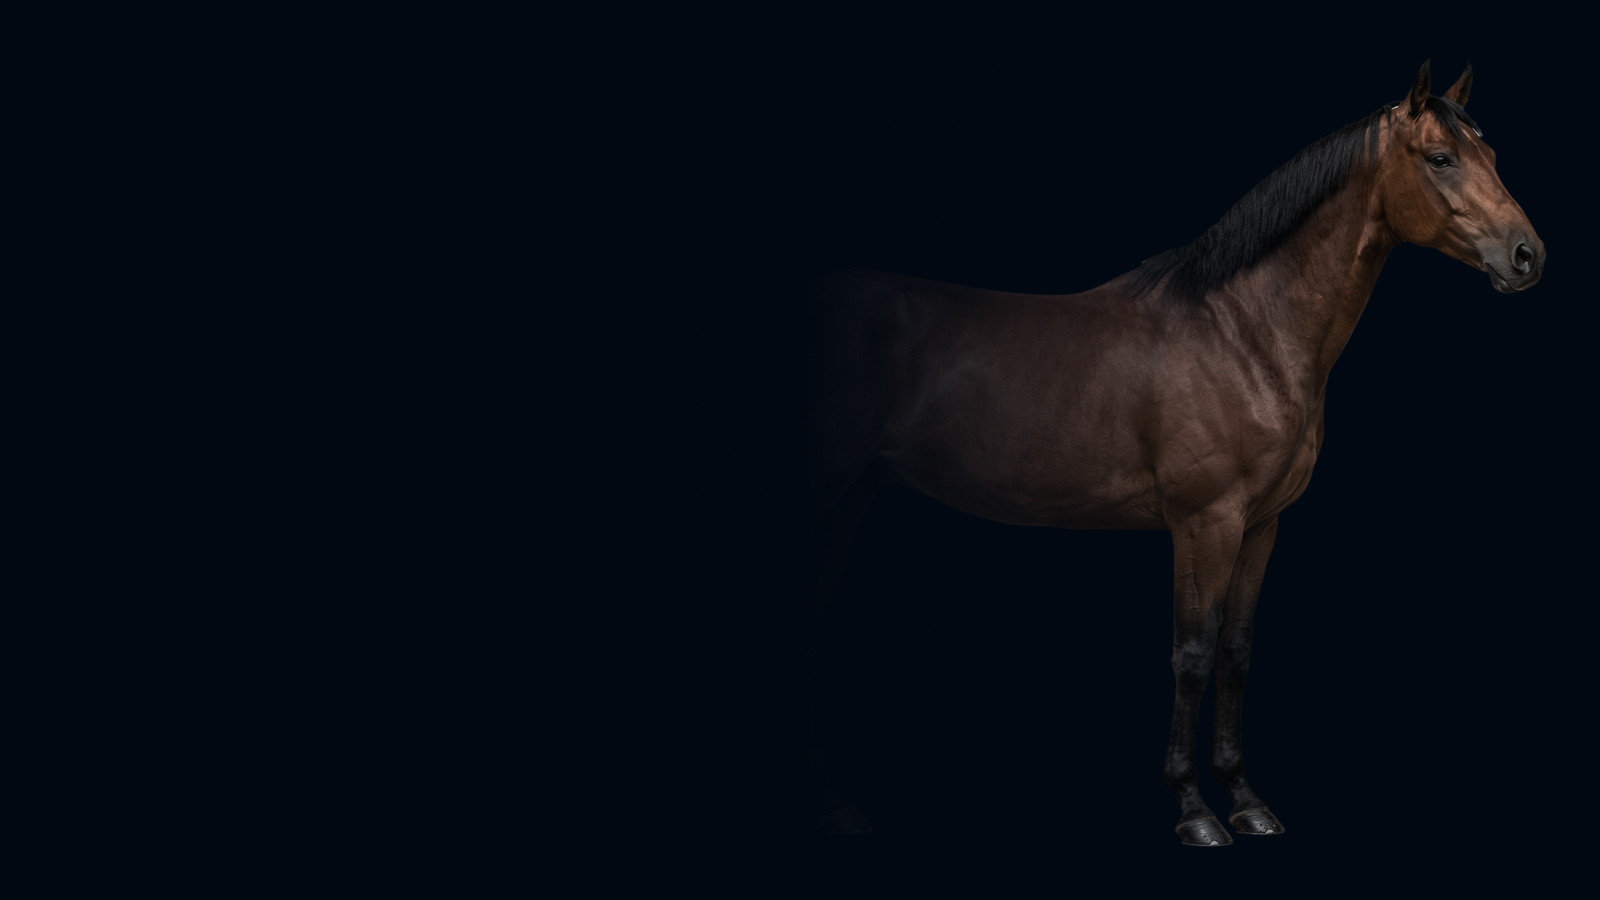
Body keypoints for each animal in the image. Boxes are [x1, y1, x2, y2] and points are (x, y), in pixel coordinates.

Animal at [803, 60, 1543, 845]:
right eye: (1440, 158)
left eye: (1492, 155)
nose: (1528, 255)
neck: (1245, 331)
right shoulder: (1204, 523)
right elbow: (1191, 652)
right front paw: (1194, 809)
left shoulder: (1261, 526)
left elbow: (1237, 651)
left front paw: (1246, 799)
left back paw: (836, 804)